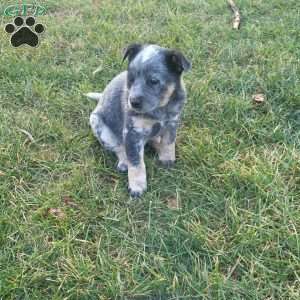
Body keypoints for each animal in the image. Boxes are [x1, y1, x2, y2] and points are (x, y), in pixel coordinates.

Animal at [86, 42, 191, 197]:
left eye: (153, 81)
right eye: (131, 78)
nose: (133, 102)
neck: (160, 109)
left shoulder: (172, 123)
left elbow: (168, 144)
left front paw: (167, 160)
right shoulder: (132, 133)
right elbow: (136, 163)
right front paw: (137, 187)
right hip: (99, 126)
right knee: (119, 148)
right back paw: (124, 162)